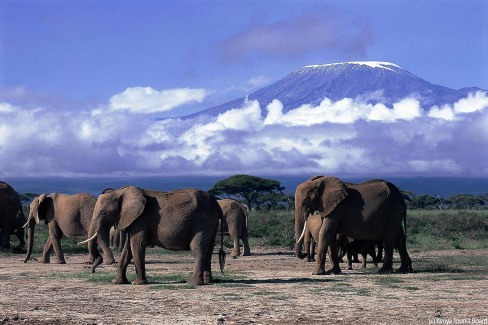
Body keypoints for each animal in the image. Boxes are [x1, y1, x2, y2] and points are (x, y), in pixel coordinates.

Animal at [83, 186, 227, 284]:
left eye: (103, 213)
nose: (92, 271)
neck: (120, 192)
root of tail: (217, 205)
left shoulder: (141, 220)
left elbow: (137, 245)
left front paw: (138, 283)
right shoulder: (133, 220)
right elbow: (128, 249)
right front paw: (118, 282)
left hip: (202, 221)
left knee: (198, 248)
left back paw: (193, 283)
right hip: (211, 223)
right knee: (208, 249)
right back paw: (207, 281)